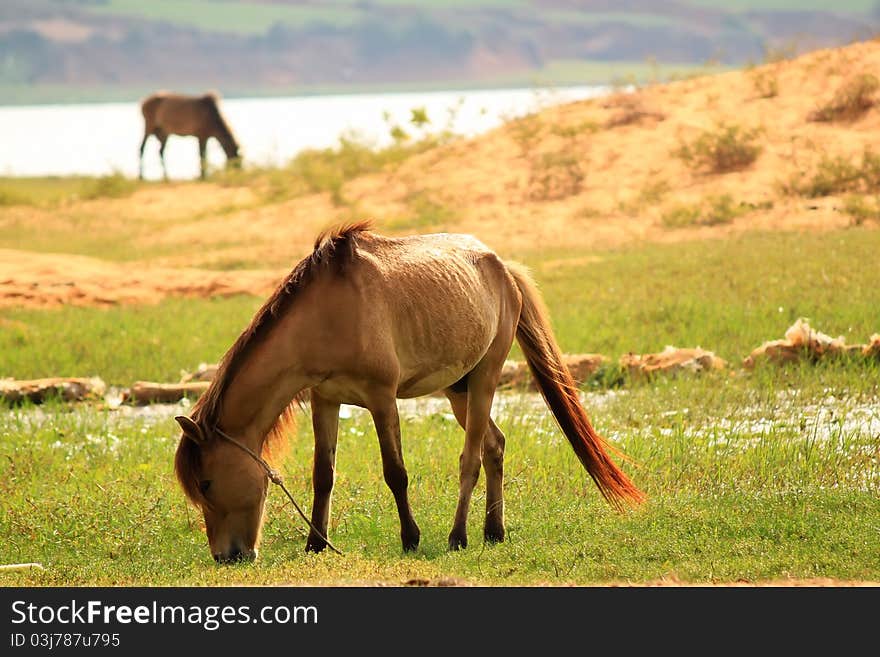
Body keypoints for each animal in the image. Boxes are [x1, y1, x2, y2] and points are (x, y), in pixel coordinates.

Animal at [174, 223, 648, 560]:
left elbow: (395, 473)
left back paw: (459, 536)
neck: (325, 316)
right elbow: (323, 474)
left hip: (484, 379)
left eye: (207, 483)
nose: (227, 556)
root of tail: (502, 267)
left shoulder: (381, 399)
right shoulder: (326, 400)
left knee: (472, 459)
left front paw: (410, 537)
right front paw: (316, 543)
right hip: (458, 389)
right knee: (494, 446)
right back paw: (493, 532)